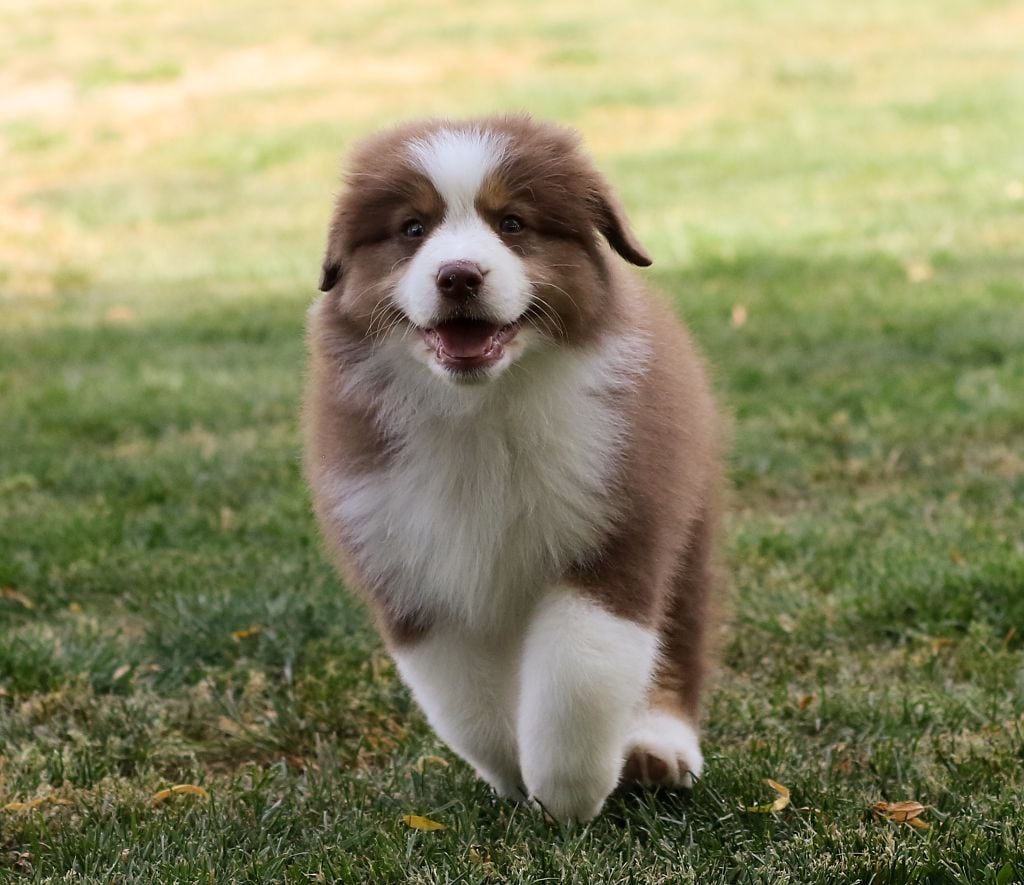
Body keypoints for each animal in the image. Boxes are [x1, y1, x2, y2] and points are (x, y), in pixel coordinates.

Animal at [303, 115, 723, 823]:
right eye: (412, 228)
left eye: (513, 224)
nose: (458, 276)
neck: (482, 408)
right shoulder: (403, 559)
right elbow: (466, 699)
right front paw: (513, 772)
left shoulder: (621, 526)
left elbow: (580, 670)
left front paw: (566, 793)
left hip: (690, 518)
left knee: (679, 632)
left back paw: (659, 748)